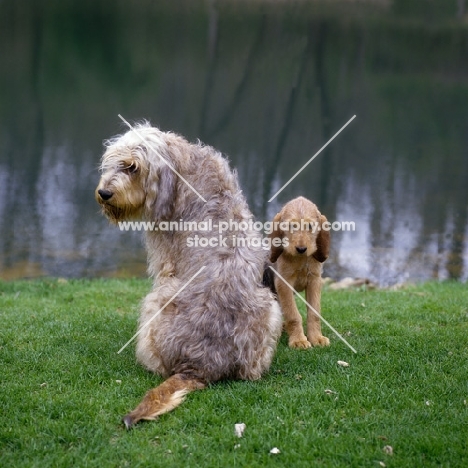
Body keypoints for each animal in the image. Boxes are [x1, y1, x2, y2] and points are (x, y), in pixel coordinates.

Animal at [268, 197, 330, 348]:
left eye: (310, 226)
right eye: (292, 226)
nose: (301, 249)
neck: (301, 259)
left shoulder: (314, 281)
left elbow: (314, 313)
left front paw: (316, 338)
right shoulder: (284, 284)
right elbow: (293, 315)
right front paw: (298, 340)